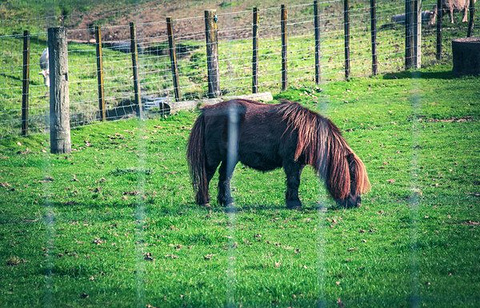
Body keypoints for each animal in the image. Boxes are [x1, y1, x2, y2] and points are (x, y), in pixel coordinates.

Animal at [186, 100, 370, 208]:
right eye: (352, 178)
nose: (357, 203)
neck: (305, 132)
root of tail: (207, 110)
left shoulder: (298, 164)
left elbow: (293, 182)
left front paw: (291, 201)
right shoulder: (291, 163)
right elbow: (294, 181)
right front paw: (294, 203)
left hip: (229, 158)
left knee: (224, 177)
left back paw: (226, 202)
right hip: (213, 158)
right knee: (207, 176)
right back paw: (204, 202)